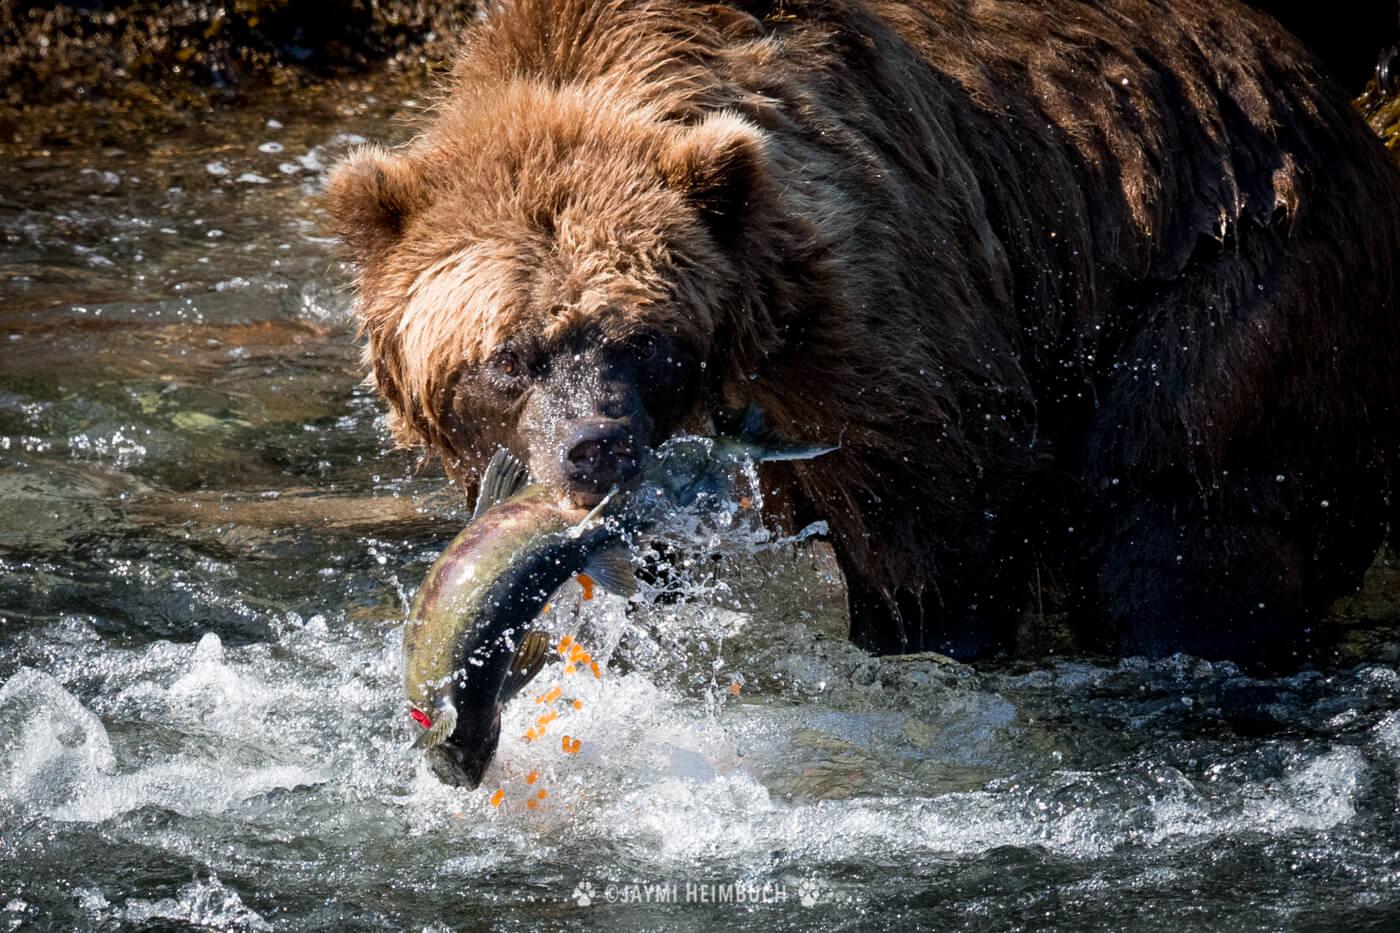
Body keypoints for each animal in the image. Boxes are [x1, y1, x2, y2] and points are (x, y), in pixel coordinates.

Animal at [327, 0, 1400, 661]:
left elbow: (938, 492)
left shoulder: (867, 294)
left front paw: (919, 642)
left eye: (644, 340)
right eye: (509, 356)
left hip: (1232, 266)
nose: (598, 445)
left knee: (1180, 515)